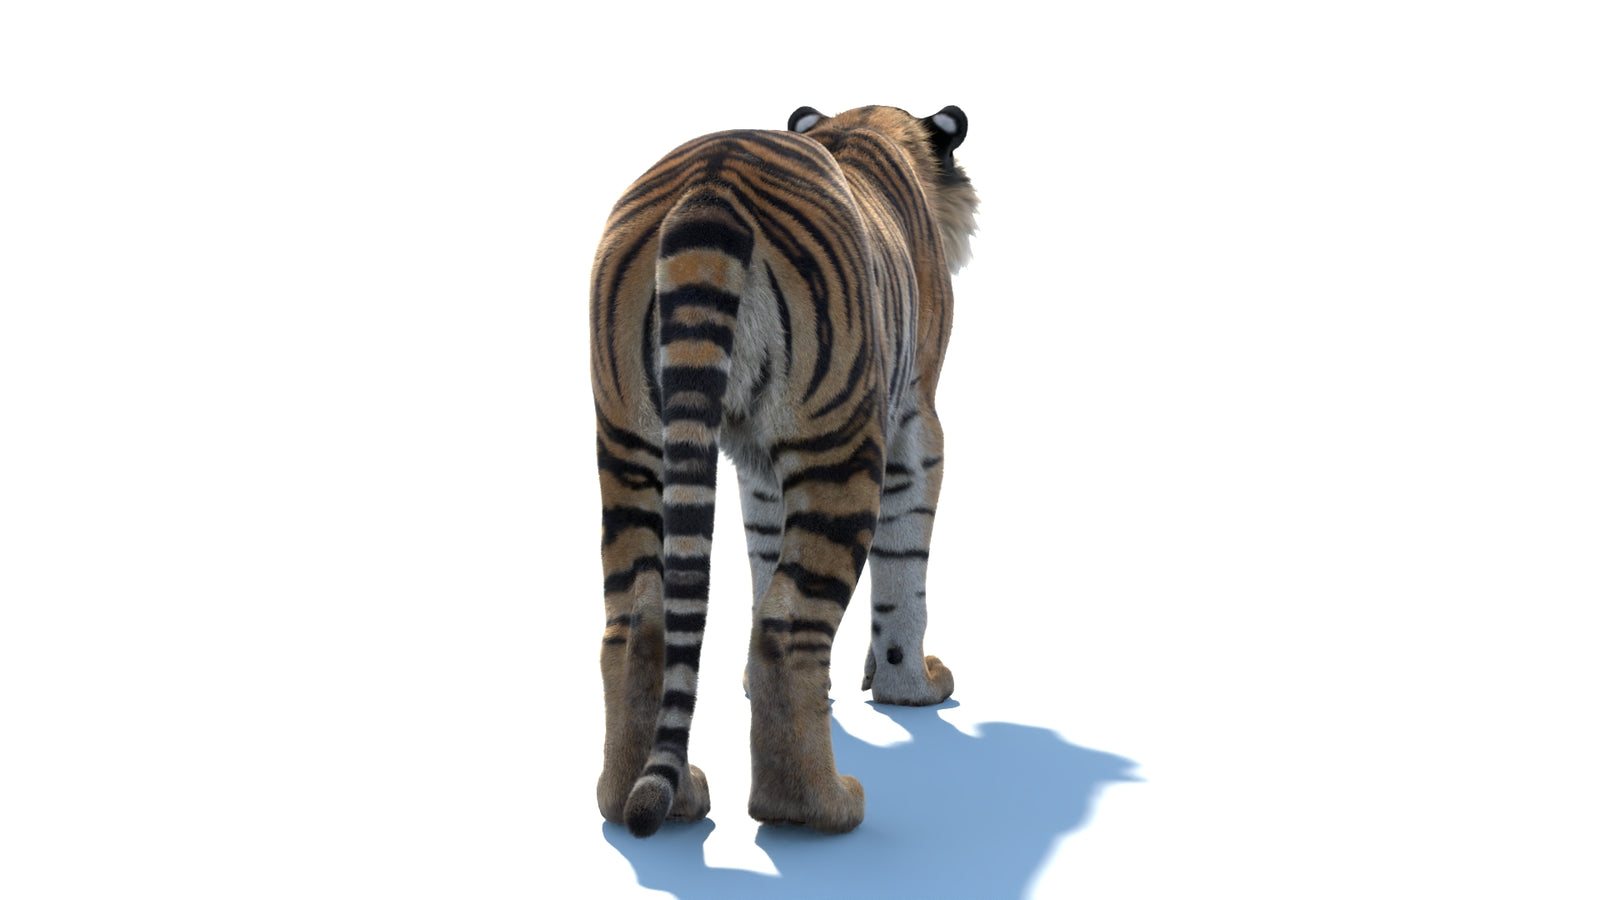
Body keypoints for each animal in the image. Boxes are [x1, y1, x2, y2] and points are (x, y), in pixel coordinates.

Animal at [589, 104, 978, 838]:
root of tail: (709, 185)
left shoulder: (755, 459)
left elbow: (763, 559)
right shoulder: (917, 423)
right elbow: (904, 573)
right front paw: (911, 687)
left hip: (629, 441)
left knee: (636, 620)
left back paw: (652, 796)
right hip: (842, 437)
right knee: (787, 627)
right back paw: (821, 807)